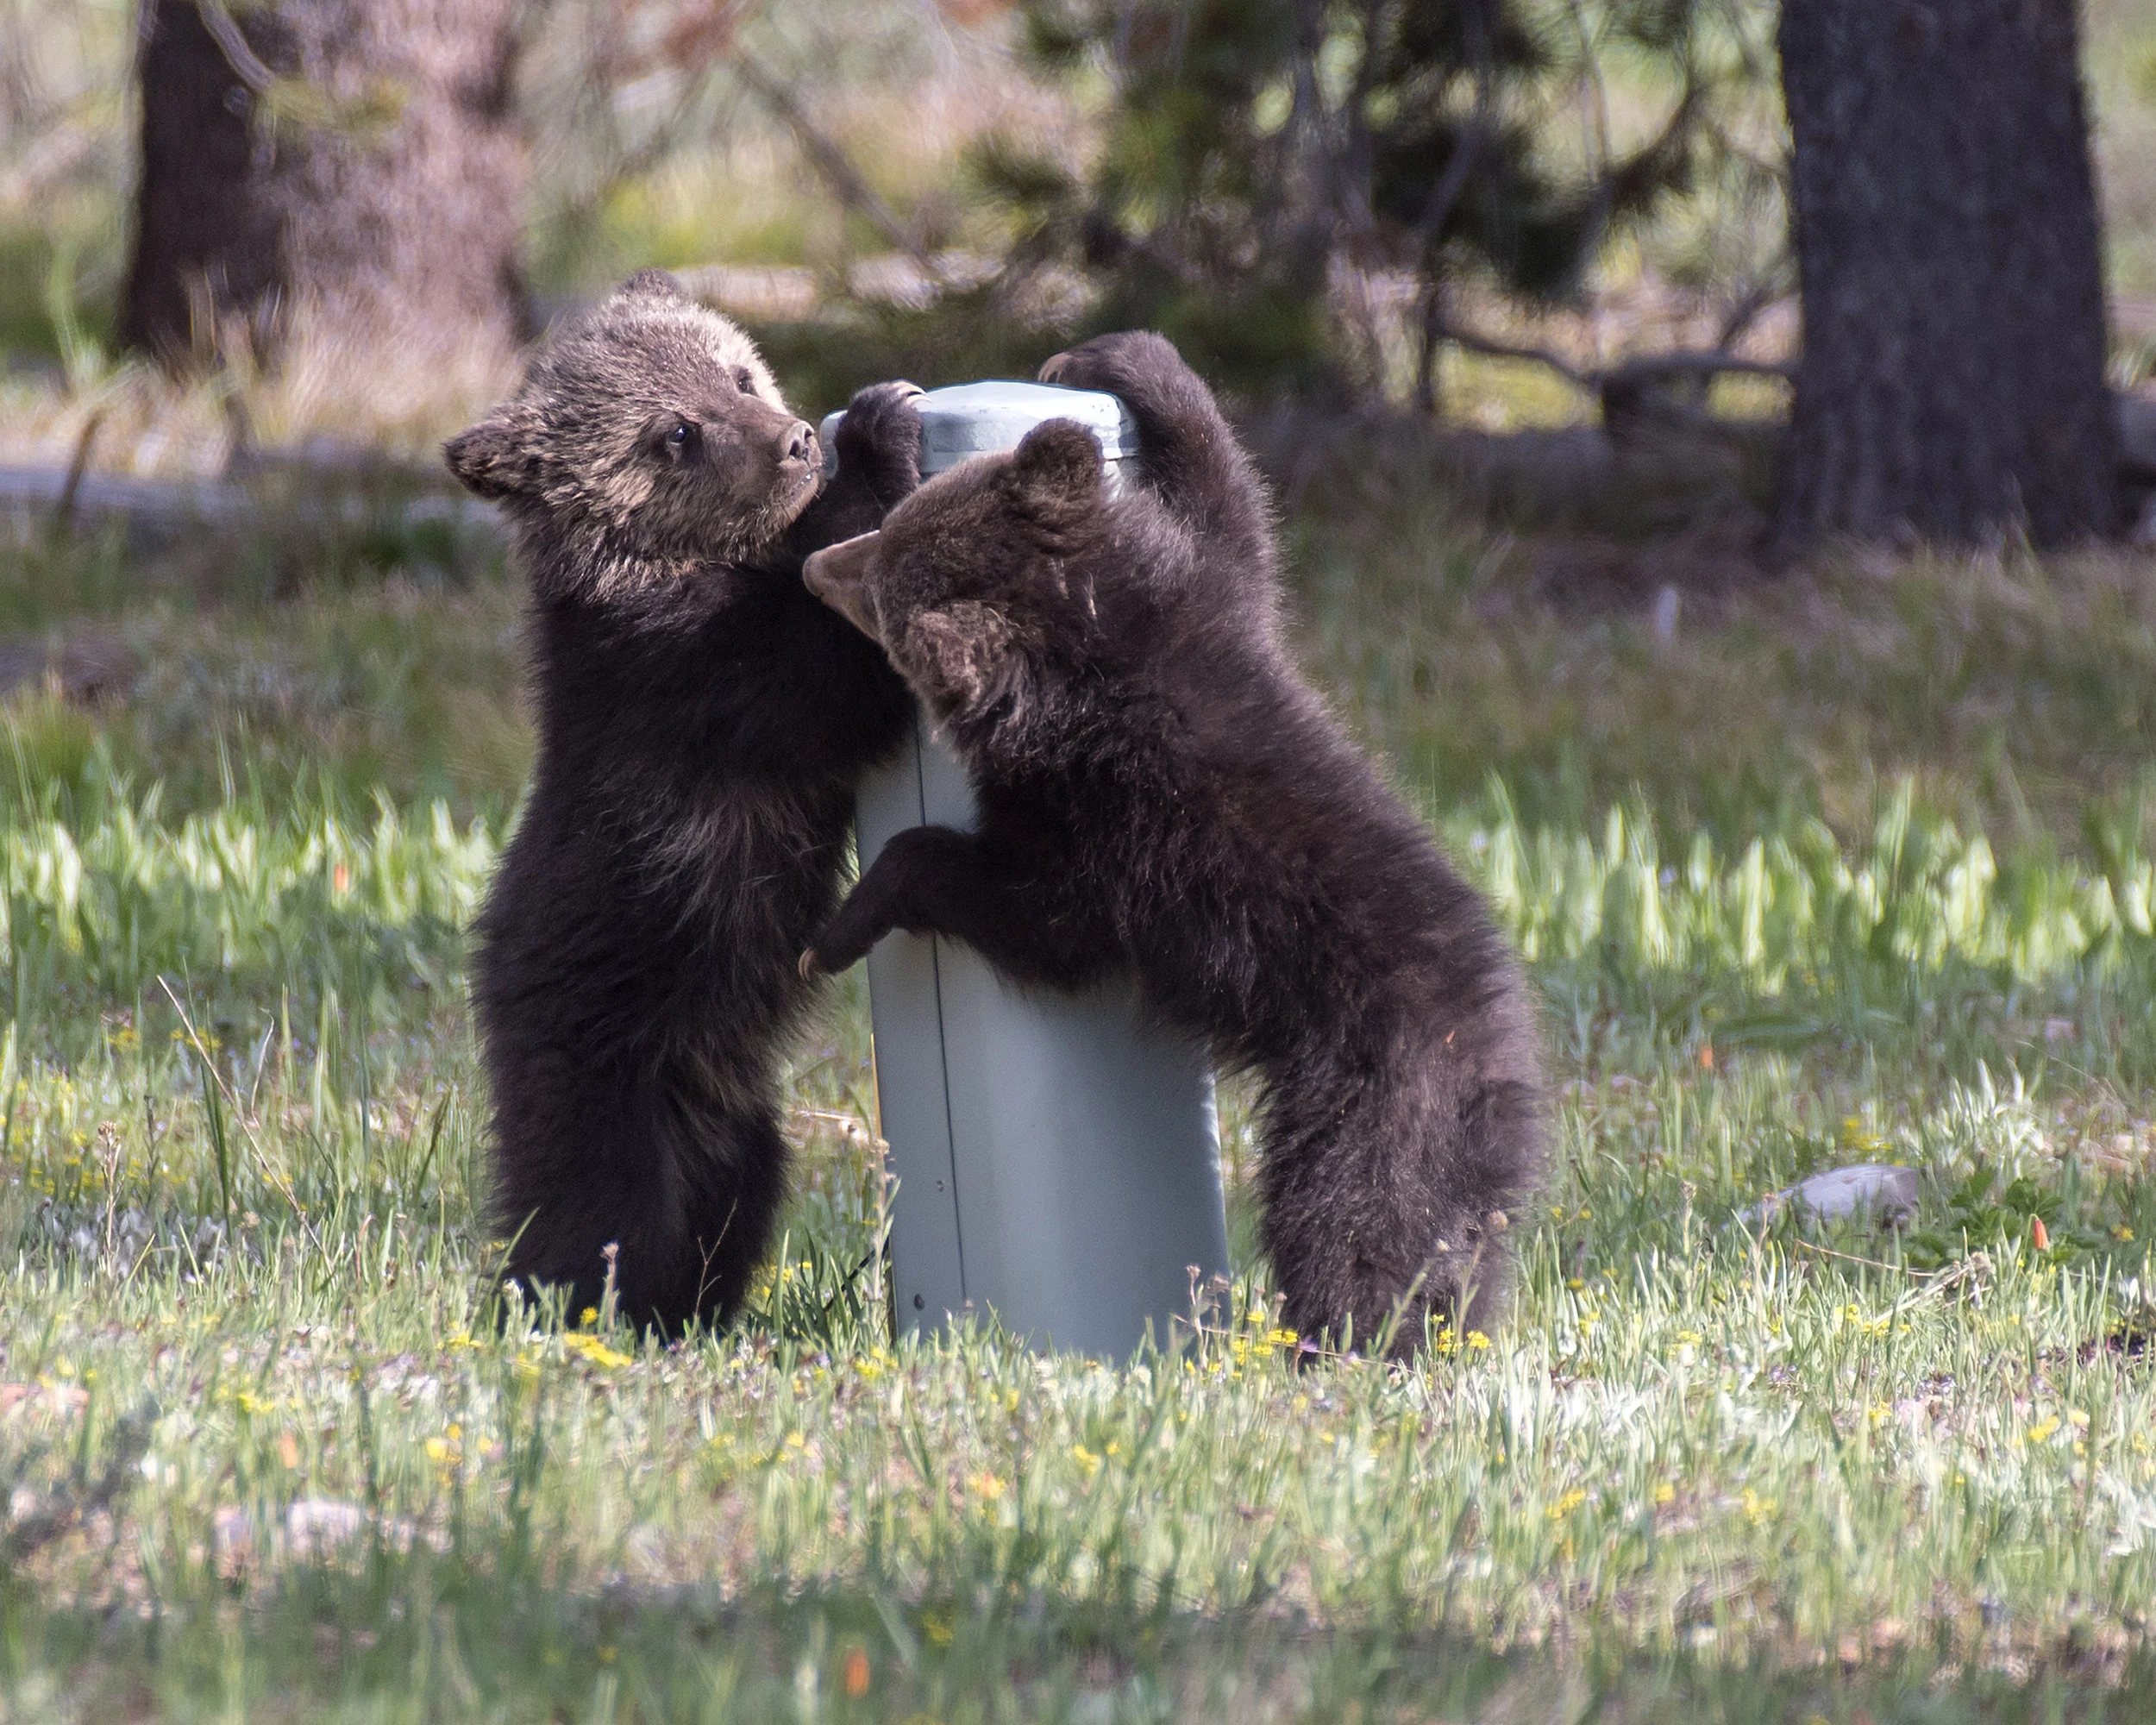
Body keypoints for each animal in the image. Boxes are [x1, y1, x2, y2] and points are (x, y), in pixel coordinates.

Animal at [442, 269, 922, 1333]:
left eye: (736, 371)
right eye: (673, 431)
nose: (796, 440)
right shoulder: (678, 672)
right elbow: (817, 671)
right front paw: (883, 430)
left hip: (732, 1114)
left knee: (735, 1201)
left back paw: (700, 1314)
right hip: (605, 1066)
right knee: (602, 1220)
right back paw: (577, 1310)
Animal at [799, 331, 1547, 1354]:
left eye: (879, 588)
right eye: (895, 527)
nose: (815, 563)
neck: (1085, 665)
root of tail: (1502, 1072)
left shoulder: (1122, 831)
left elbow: (1036, 919)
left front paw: (836, 928)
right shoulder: (1207, 606)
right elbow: (1232, 507)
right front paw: (1114, 358)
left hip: (1371, 1109)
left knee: (1354, 1236)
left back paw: (1340, 1349)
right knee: (1456, 1261)